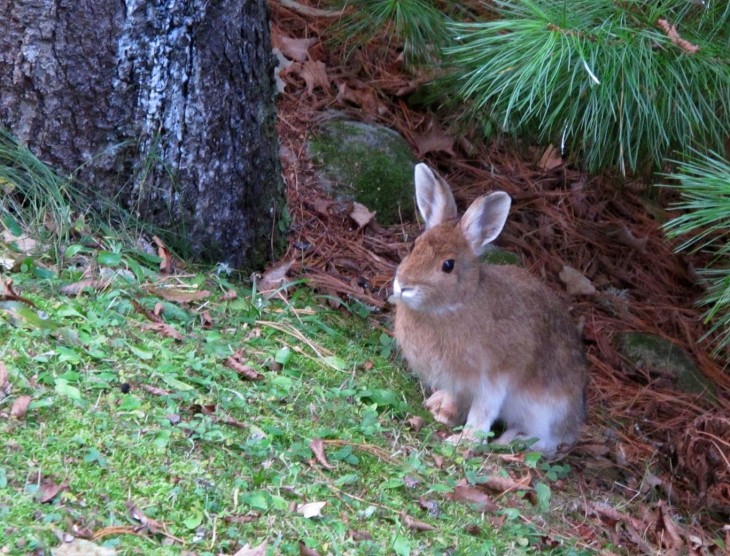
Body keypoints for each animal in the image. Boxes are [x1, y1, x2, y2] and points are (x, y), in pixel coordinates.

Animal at [390, 163, 584, 454]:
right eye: (414, 246)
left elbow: (482, 412)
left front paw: (464, 441)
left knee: (547, 441)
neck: (455, 305)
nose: (404, 286)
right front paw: (443, 412)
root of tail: (575, 424)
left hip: (546, 411)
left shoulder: (493, 378)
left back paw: (512, 440)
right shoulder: (458, 381)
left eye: (448, 265)